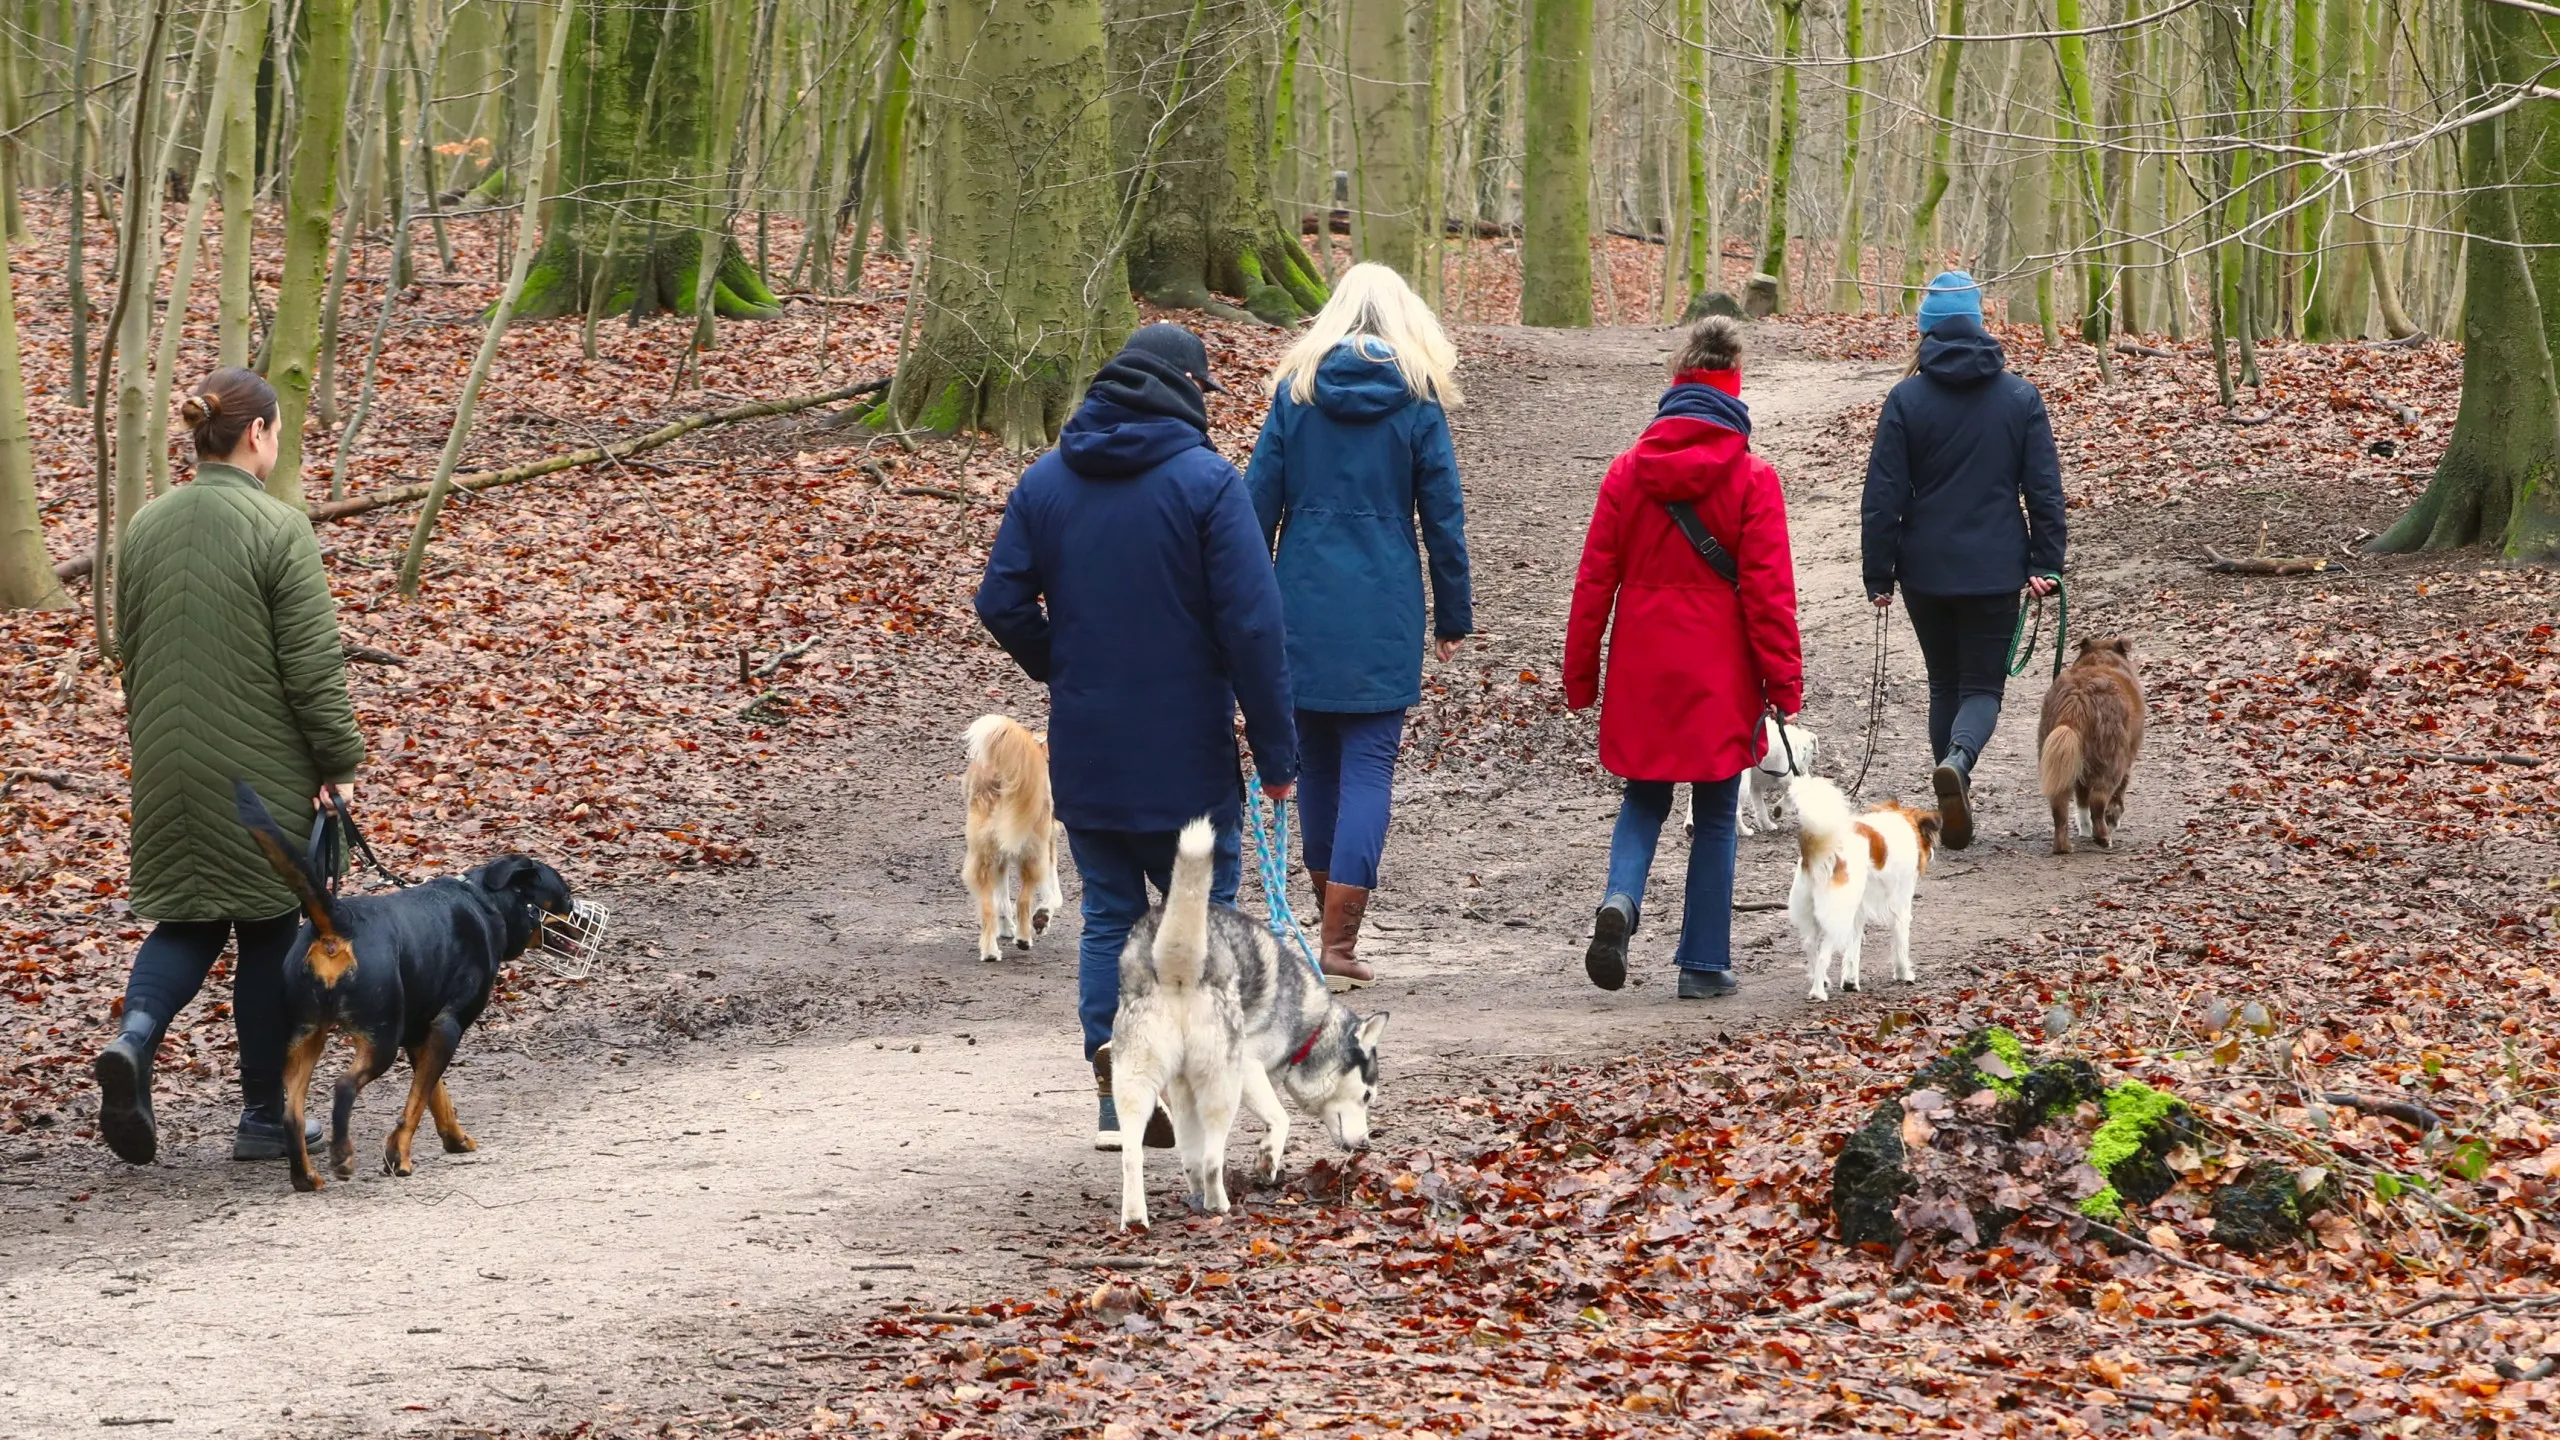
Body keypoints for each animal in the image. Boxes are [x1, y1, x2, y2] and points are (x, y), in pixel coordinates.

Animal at [234, 778, 570, 1183]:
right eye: (566, 895)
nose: (577, 905)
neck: (486, 902)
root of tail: (337, 921)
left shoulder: (420, 1031)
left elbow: (435, 1095)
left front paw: (455, 1139)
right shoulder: (447, 1026)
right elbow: (418, 1100)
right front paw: (399, 1155)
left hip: (307, 1036)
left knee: (292, 1113)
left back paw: (305, 1177)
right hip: (381, 1038)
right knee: (343, 1086)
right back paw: (342, 1155)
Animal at [967, 712, 1070, 958]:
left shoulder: (1001, 857)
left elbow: (1002, 900)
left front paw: (1005, 929)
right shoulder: (1048, 846)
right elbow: (1055, 895)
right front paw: (1043, 916)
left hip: (983, 855)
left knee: (988, 906)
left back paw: (990, 951)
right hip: (1032, 851)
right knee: (1023, 900)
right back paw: (1024, 938)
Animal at [1111, 819, 1392, 1219]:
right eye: (1367, 1096)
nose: (1366, 1144)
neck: (1311, 1027)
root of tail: (1178, 968)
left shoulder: (1183, 1087)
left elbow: (1189, 1154)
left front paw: (1194, 1189)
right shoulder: (1249, 1068)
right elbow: (1280, 1119)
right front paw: (1268, 1160)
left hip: (1136, 1078)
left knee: (1135, 1155)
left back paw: (1138, 1217)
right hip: (1223, 1081)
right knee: (1213, 1158)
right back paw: (1219, 1204)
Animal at [1679, 712, 1822, 835]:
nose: (1803, 773)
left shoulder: (1755, 786)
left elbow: (1760, 808)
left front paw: (1767, 825)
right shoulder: (1786, 778)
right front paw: (1778, 810)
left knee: (1693, 798)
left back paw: (1690, 826)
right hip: (1742, 785)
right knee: (1736, 812)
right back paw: (1744, 832)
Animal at [1781, 773, 1935, 999]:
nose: (1931, 854)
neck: (1901, 822)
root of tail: (1822, 851)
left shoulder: (1858, 912)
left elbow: (1852, 951)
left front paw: (1850, 982)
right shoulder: (1901, 905)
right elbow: (1900, 944)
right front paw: (1903, 973)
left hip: (1820, 910)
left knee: (1810, 945)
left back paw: (1823, 980)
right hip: (1837, 917)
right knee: (1823, 955)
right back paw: (1818, 992)